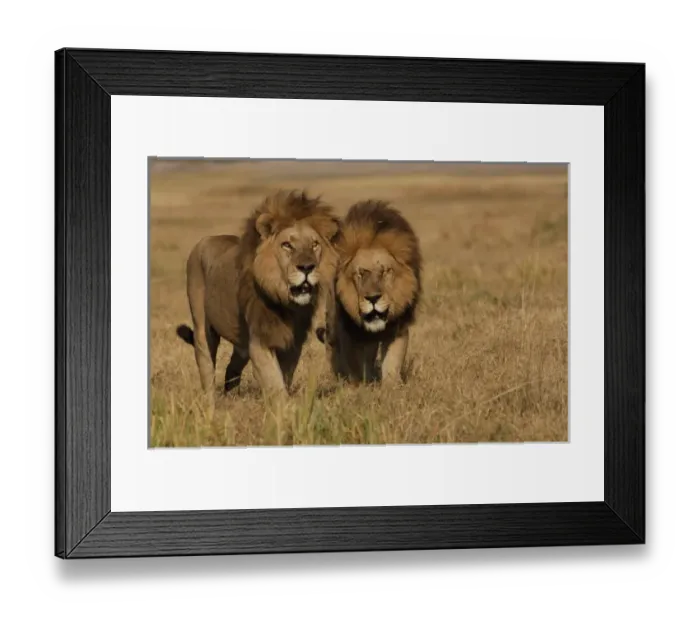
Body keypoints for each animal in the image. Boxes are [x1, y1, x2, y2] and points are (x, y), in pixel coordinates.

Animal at [176, 190, 340, 402]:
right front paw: (283, 408)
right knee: (207, 369)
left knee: (231, 369)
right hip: (203, 329)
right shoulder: (260, 341)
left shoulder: (292, 343)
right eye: (287, 245)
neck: (286, 304)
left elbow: (284, 377)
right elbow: (274, 383)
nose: (307, 267)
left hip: (241, 344)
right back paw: (210, 403)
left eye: (314, 244)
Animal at [320, 200, 422, 385]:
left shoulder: (398, 327)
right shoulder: (350, 330)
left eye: (385, 271)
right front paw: (360, 385)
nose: (373, 298)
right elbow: (355, 362)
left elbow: (393, 360)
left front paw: (392, 385)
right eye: (360, 273)